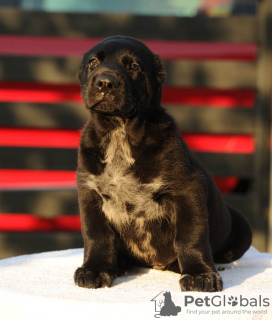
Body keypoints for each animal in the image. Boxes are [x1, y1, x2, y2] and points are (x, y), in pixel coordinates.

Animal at [73, 35, 252, 292]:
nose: (105, 82)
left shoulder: (188, 190)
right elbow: (96, 236)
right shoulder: (90, 193)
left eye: (133, 67)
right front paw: (95, 269)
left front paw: (200, 275)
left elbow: (191, 237)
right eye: (93, 62)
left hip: (243, 229)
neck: (119, 132)